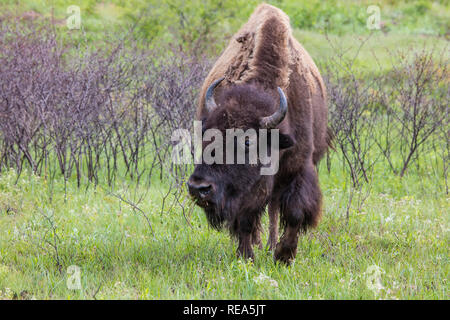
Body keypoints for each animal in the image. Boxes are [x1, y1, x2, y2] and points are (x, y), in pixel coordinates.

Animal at [188, 3, 332, 264]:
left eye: (247, 141)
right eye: (206, 134)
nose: (198, 188)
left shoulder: (298, 168)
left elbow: (295, 213)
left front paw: (283, 256)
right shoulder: (245, 191)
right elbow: (245, 219)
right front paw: (246, 257)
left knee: (274, 208)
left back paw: (272, 244)